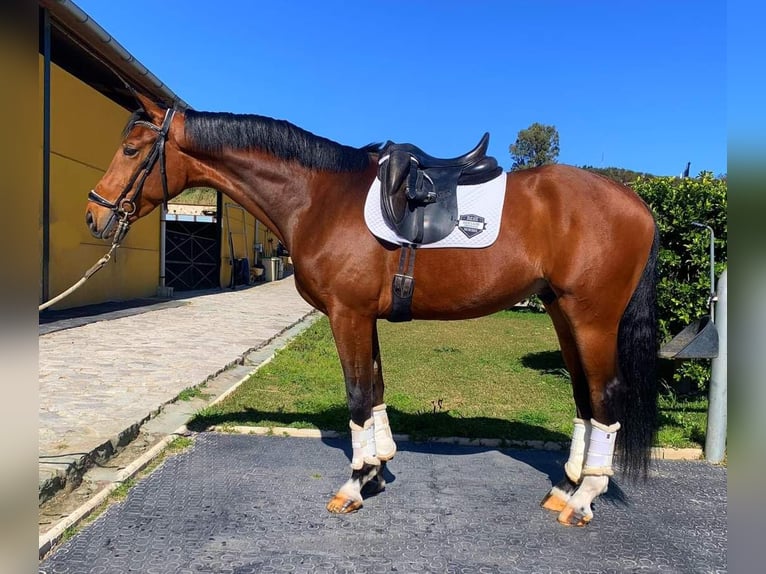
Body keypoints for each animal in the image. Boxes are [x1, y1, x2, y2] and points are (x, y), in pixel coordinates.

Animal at [85, 93, 660, 528]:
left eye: (132, 149)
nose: (94, 214)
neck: (320, 197)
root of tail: (638, 204)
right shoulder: (366, 318)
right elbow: (377, 390)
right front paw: (378, 470)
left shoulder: (348, 315)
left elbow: (358, 396)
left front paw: (355, 484)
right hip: (563, 313)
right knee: (584, 398)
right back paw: (566, 487)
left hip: (591, 319)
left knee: (606, 398)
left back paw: (583, 500)